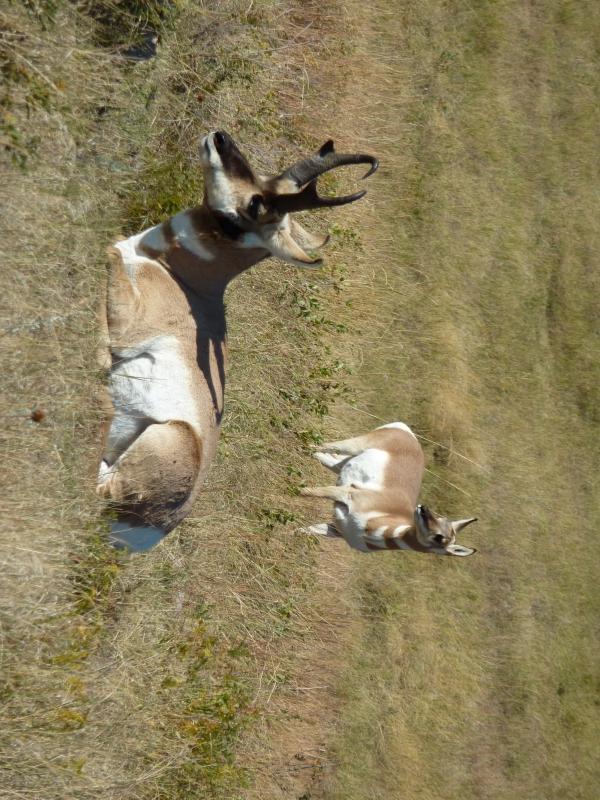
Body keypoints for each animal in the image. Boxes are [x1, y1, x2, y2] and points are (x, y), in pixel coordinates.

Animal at [97, 131, 378, 551]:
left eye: (255, 204)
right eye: (266, 178)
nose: (221, 138)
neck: (183, 279)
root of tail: (161, 526)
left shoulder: (128, 319)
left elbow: (108, 252)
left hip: (167, 438)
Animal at [301, 422, 478, 556]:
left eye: (440, 537)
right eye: (441, 519)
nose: (423, 508)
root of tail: (410, 435)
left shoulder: (336, 529)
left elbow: (308, 529)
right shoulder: (349, 494)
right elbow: (311, 492)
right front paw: (297, 490)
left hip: (341, 463)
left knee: (322, 455)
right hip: (352, 446)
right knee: (324, 446)